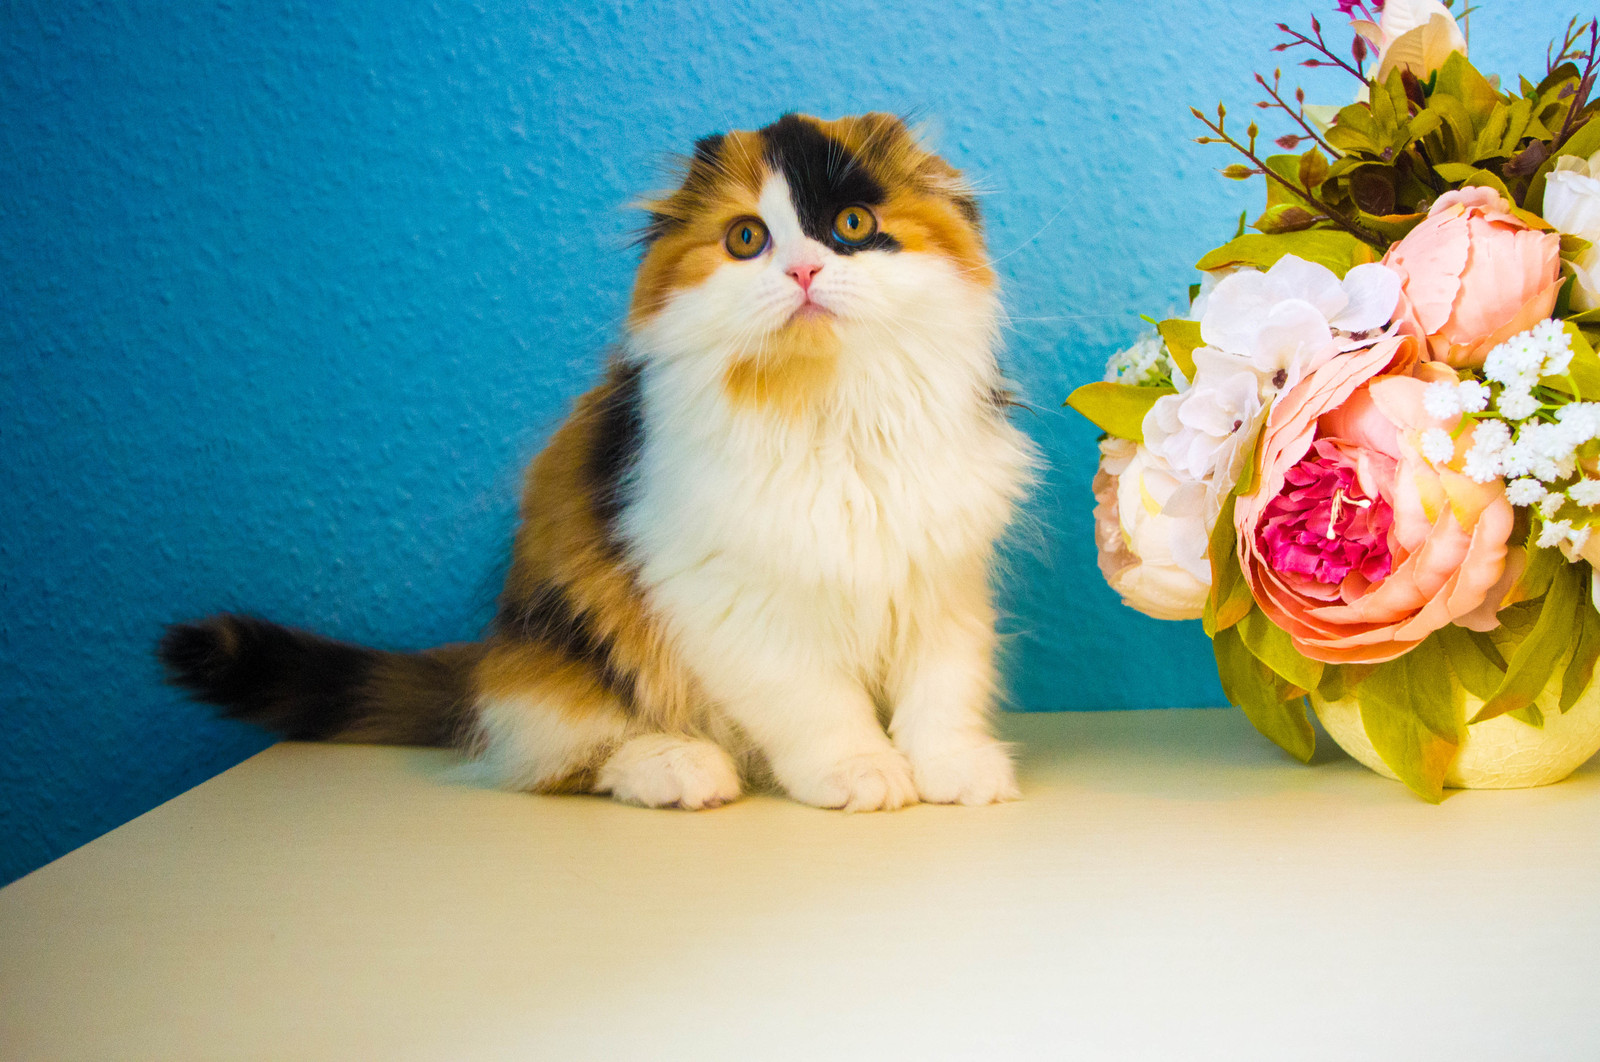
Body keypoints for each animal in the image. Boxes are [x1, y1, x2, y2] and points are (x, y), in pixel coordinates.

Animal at [159, 114, 1036, 812]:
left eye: (853, 224)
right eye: (746, 239)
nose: (803, 271)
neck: (826, 409)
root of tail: (490, 659)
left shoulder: (940, 580)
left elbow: (942, 690)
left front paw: (953, 768)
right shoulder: (734, 600)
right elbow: (816, 700)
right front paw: (861, 771)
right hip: (568, 644)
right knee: (562, 752)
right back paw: (678, 767)